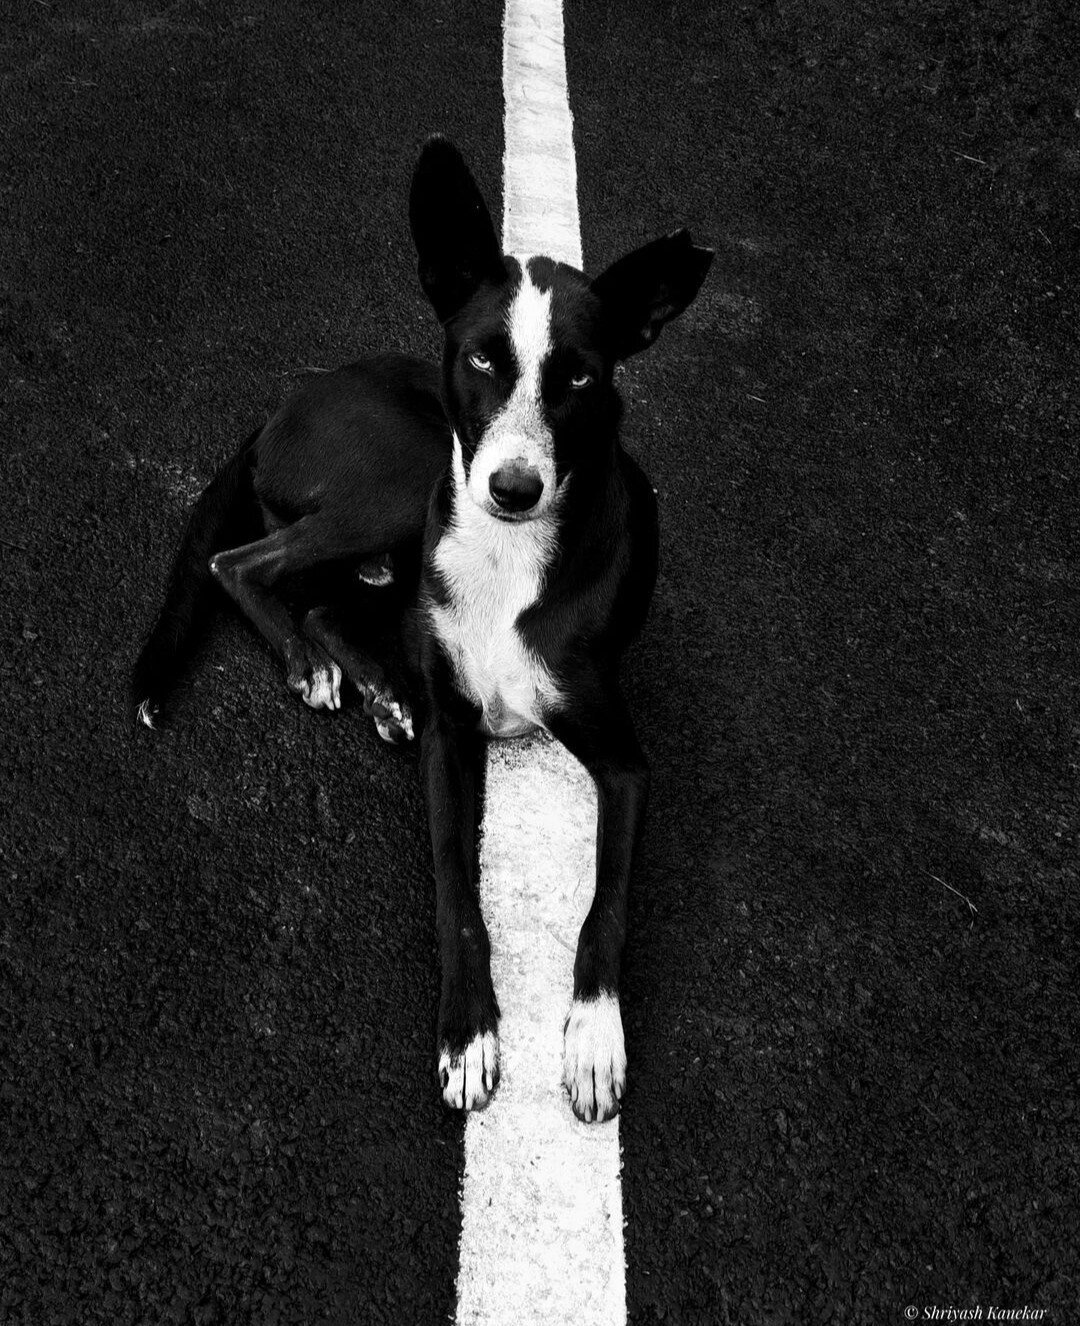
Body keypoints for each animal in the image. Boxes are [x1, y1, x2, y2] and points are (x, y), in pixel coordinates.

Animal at [133, 139, 711, 1124]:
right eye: (480, 359)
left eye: (581, 376)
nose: (512, 489)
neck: (510, 557)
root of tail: (290, 399)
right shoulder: (452, 739)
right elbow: (454, 886)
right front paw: (468, 1033)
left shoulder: (627, 764)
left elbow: (606, 908)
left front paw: (594, 1036)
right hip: (409, 479)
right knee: (240, 563)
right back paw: (318, 667)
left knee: (321, 597)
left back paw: (368, 683)